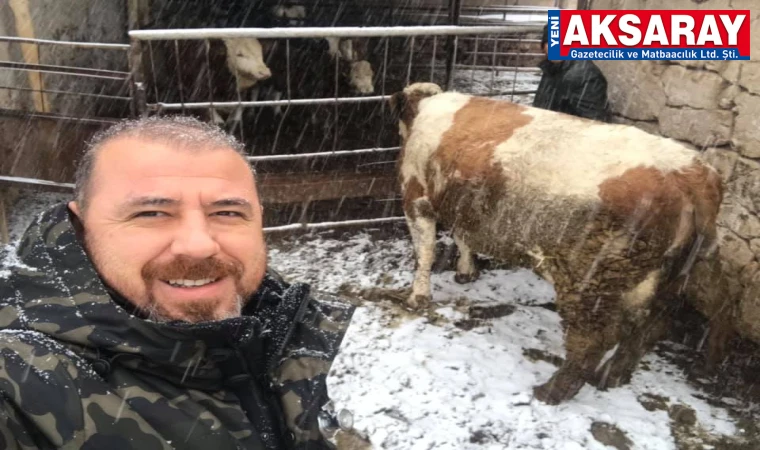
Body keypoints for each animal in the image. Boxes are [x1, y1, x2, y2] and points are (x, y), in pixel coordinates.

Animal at [392, 81, 724, 404]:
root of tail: (691, 173)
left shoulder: (416, 197)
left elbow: (425, 251)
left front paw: (418, 296)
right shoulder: (463, 204)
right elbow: (463, 236)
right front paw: (465, 272)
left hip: (591, 279)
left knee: (593, 339)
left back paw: (551, 391)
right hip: (668, 279)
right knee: (649, 328)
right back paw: (611, 377)